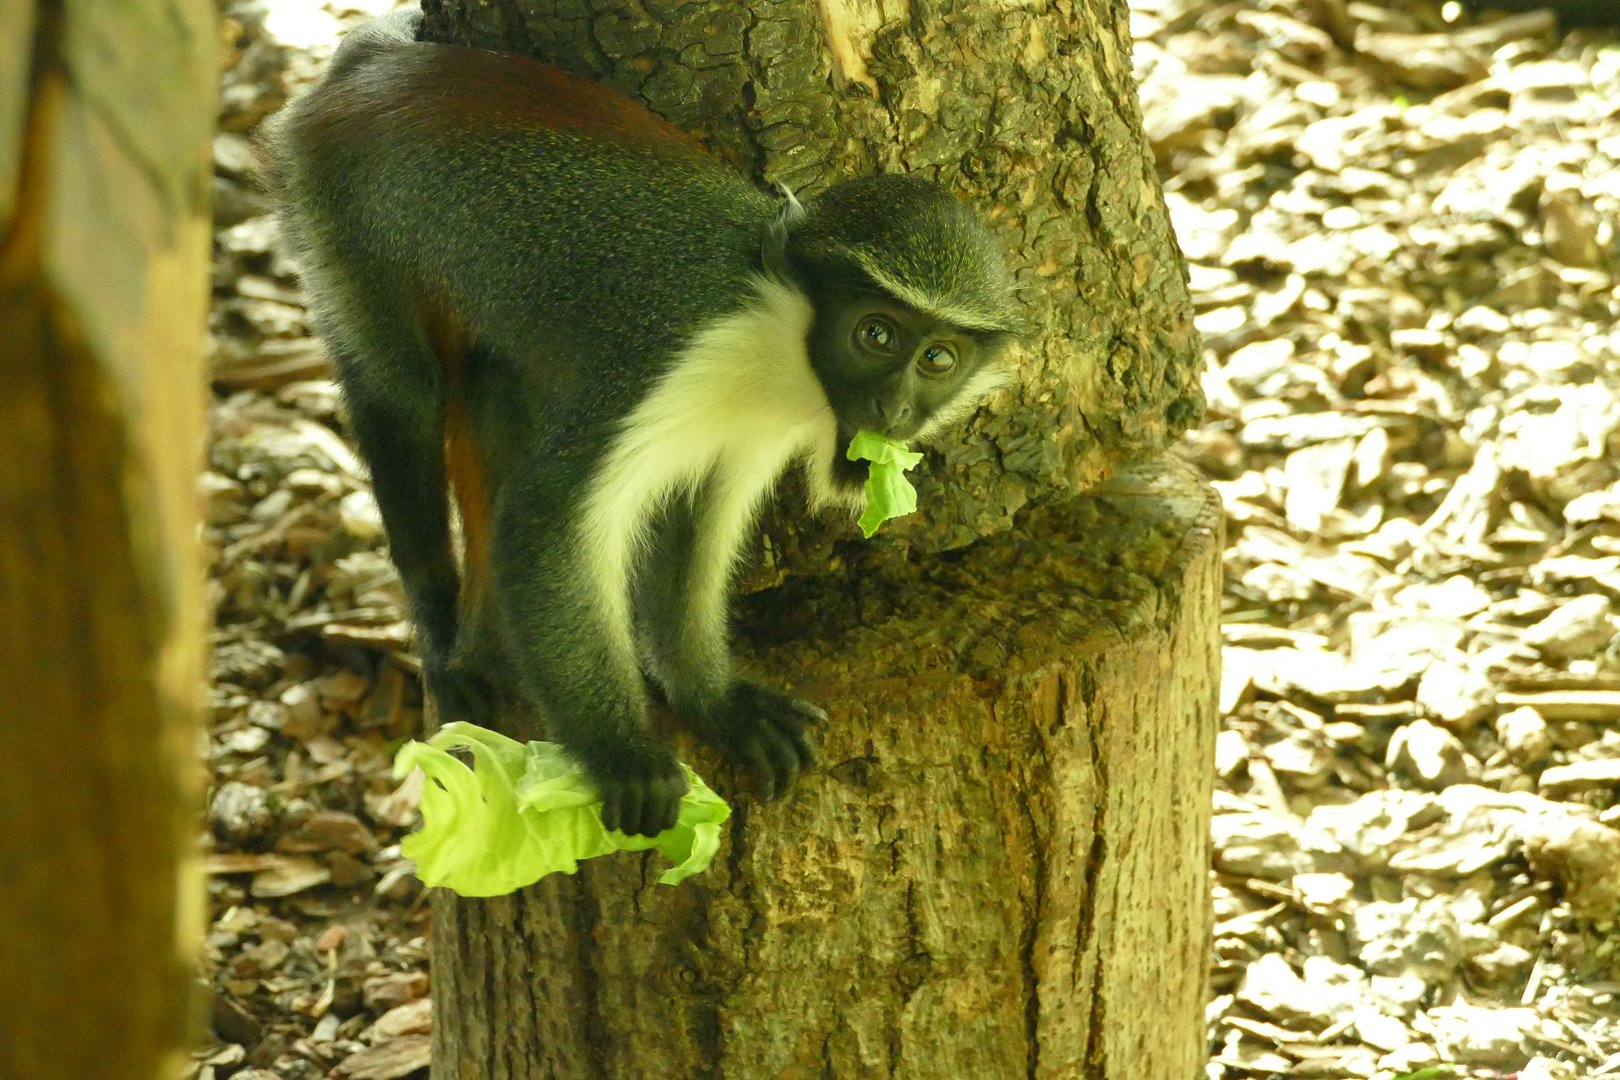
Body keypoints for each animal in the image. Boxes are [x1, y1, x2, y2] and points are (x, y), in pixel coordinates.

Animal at [260, 11, 1020, 837]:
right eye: (876, 335)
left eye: (939, 358)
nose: (897, 410)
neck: (779, 337)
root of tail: (365, 72)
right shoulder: (665, 353)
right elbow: (545, 516)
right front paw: (622, 753)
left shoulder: (750, 438)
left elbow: (695, 522)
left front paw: (716, 701)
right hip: (337, 212)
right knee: (401, 396)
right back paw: (443, 639)